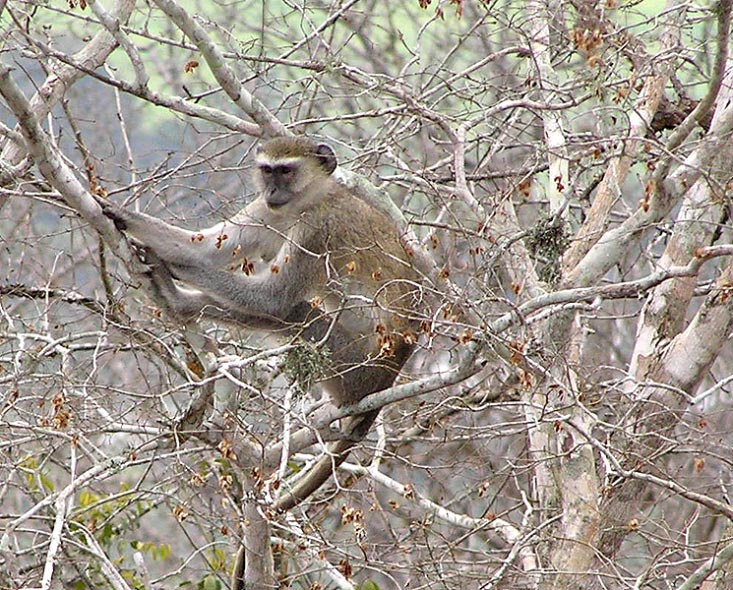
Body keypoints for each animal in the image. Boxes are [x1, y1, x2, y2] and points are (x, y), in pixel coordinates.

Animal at [100, 137, 419, 514]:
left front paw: (173, 266)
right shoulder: (266, 211)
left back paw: (177, 299)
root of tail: (392, 369)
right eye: (267, 171)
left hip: (355, 369)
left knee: (294, 312)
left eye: (286, 171)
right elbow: (205, 249)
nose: (273, 190)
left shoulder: (317, 228)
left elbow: (272, 298)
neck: (310, 199)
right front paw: (118, 213)